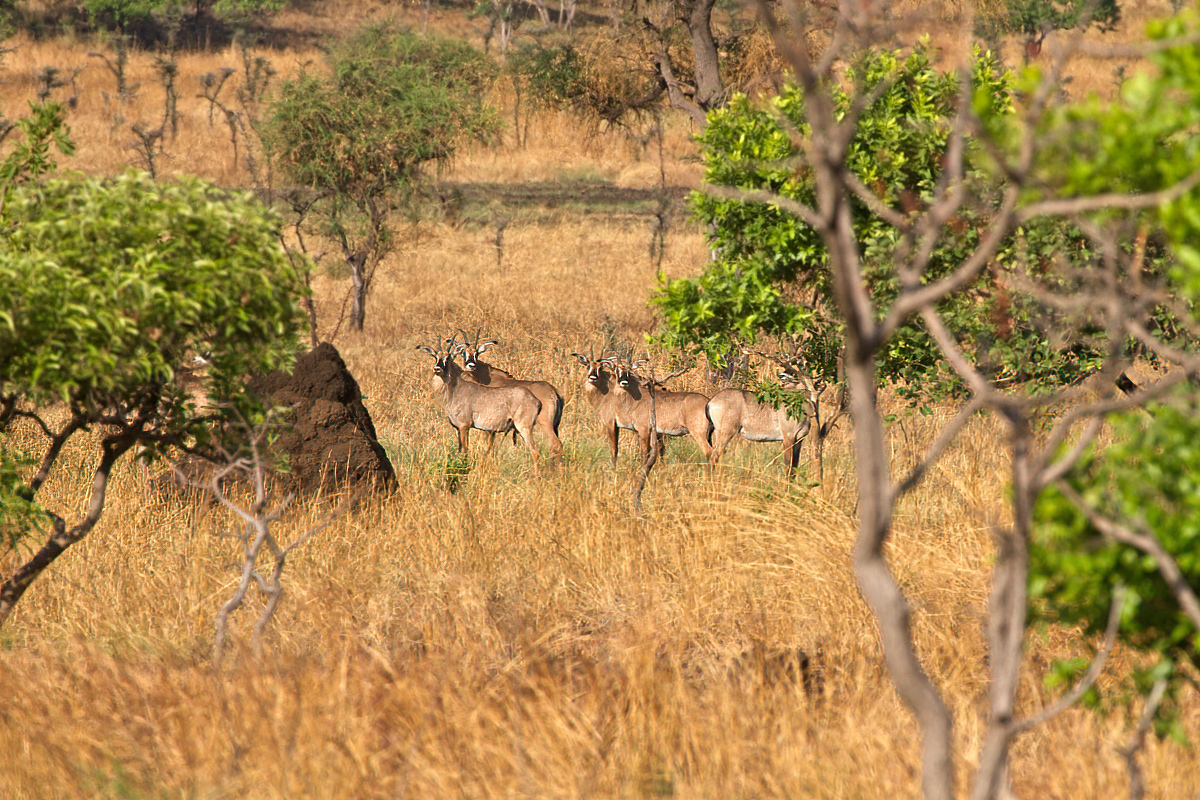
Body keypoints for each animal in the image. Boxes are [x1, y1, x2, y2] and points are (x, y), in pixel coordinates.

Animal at [415, 338, 542, 474]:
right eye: (435, 356)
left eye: (448, 357)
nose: (437, 369)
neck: (455, 389)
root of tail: (536, 400)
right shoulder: (458, 429)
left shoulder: (464, 426)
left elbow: (464, 451)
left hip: (524, 427)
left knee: (535, 451)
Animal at [451, 331, 564, 465]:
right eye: (463, 353)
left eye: (476, 353)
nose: (471, 365)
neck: (486, 377)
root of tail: (554, 393)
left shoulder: (489, 425)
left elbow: (488, 446)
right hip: (555, 426)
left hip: (545, 424)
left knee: (555, 444)